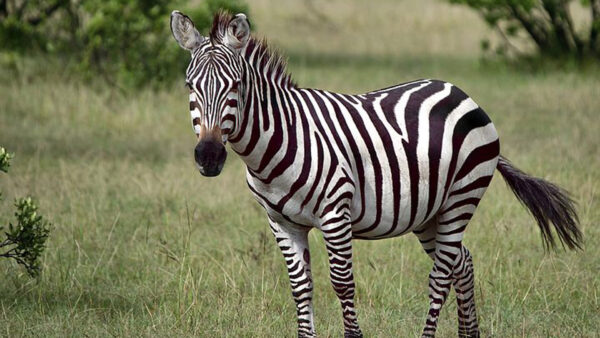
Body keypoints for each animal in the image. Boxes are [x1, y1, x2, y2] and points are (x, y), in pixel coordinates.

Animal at [169, 10, 580, 338]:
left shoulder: (335, 214)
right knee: (462, 263)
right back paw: (469, 334)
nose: (209, 156)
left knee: (441, 276)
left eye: (236, 86)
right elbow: (301, 288)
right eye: (190, 86)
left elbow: (342, 285)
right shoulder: (281, 222)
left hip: (462, 197)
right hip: (429, 212)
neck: (279, 140)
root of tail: (461, 92)